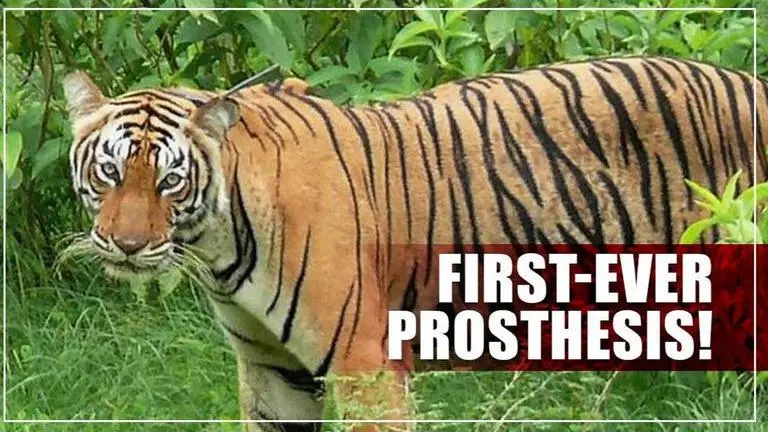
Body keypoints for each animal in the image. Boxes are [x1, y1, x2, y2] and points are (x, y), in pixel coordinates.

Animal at [62, 55, 768, 431]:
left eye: (170, 180)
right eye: (110, 172)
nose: (126, 245)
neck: (221, 248)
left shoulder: (364, 362)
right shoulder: (271, 369)